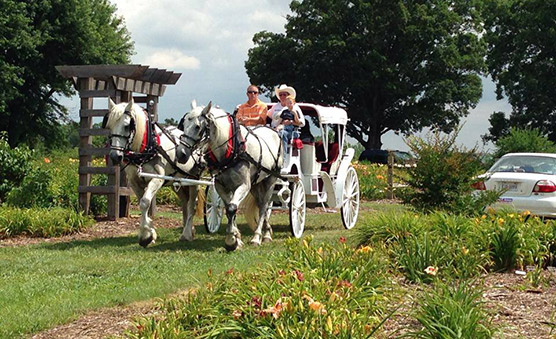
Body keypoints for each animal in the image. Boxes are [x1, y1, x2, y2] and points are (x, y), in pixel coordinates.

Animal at [103, 98, 203, 247]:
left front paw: (146, 236)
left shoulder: (157, 179)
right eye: (109, 125)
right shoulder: (135, 182)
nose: (115, 156)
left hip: (194, 180)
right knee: (185, 202)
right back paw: (189, 228)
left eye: (127, 126)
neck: (145, 148)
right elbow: (143, 203)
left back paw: (187, 234)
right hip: (176, 182)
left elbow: (145, 202)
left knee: (192, 205)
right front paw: (150, 233)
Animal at [178, 102, 282, 251]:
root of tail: (273, 132)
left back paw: (258, 237)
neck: (231, 149)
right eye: (184, 124)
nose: (181, 154)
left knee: (264, 207)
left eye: (198, 126)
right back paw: (266, 232)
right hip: (255, 185)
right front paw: (236, 237)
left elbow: (232, 208)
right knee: (260, 203)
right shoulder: (221, 186)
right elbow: (229, 209)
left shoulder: (243, 185)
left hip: (270, 180)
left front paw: (231, 240)